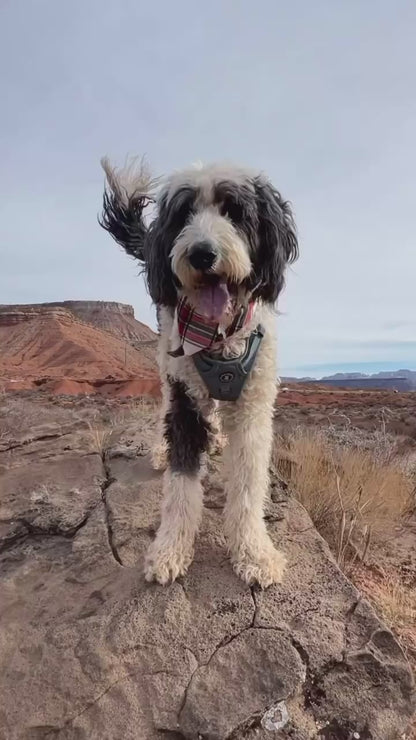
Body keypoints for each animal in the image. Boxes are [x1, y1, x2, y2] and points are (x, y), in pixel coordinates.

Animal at [99, 158, 298, 588]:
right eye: (184, 214)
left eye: (235, 212)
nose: (202, 254)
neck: (219, 337)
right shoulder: (185, 399)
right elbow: (180, 486)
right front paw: (170, 549)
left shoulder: (254, 406)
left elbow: (248, 484)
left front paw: (254, 553)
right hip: (165, 362)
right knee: (164, 409)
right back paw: (162, 448)